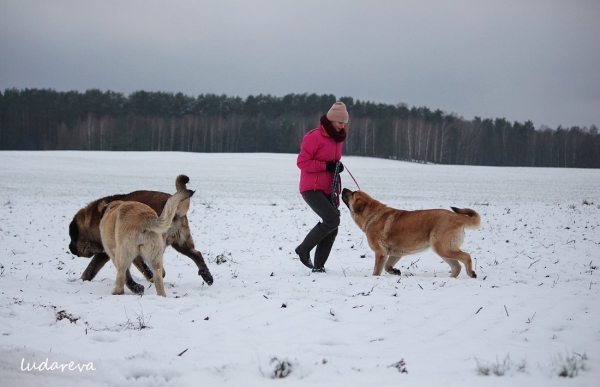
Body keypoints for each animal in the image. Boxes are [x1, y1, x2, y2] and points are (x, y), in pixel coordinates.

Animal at [340, 189, 480, 278]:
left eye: (353, 193)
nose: (344, 188)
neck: (372, 215)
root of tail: (458, 217)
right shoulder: (394, 254)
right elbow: (387, 267)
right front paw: (394, 271)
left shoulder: (380, 253)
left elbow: (377, 270)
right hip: (443, 250)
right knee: (457, 267)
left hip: (443, 248)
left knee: (466, 256)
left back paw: (471, 273)